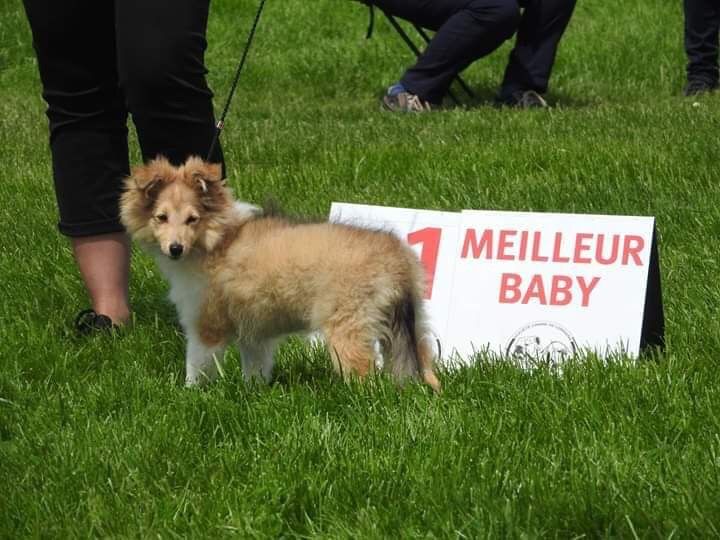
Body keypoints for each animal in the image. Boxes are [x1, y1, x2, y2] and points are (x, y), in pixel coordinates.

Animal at [120, 156, 440, 392]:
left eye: (192, 219)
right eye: (161, 217)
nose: (175, 249)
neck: (215, 240)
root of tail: (396, 260)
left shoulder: (205, 324)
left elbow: (196, 365)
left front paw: (189, 394)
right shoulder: (255, 330)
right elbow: (255, 367)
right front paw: (253, 392)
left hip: (349, 324)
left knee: (364, 373)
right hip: (412, 321)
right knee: (424, 360)